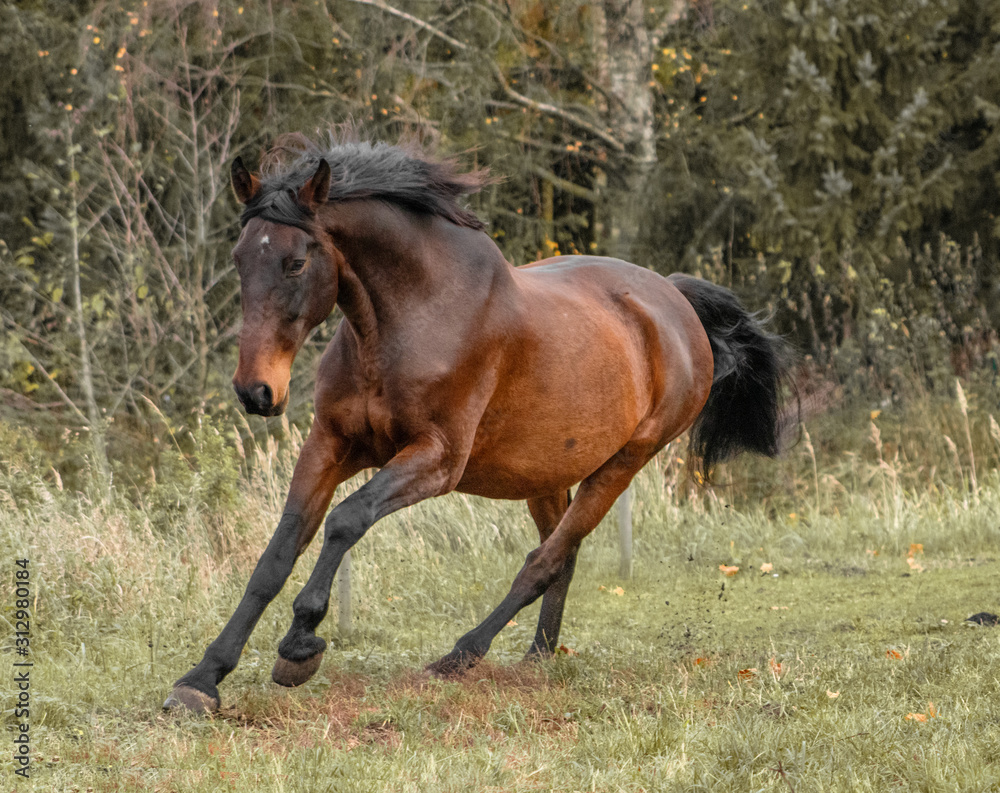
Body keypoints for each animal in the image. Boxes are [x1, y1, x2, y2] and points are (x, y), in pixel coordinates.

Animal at [164, 135, 787, 712]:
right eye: (240, 258)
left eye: (295, 262)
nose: (256, 392)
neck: (408, 319)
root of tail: (674, 300)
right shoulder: (330, 445)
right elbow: (278, 553)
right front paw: (201, 680)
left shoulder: (437, 459)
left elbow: (346, 520)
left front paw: (300, 645)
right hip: (546, 473)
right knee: (561, 557)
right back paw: (537, 659)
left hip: (624, 464)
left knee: (544, 561)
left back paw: (460, 656)